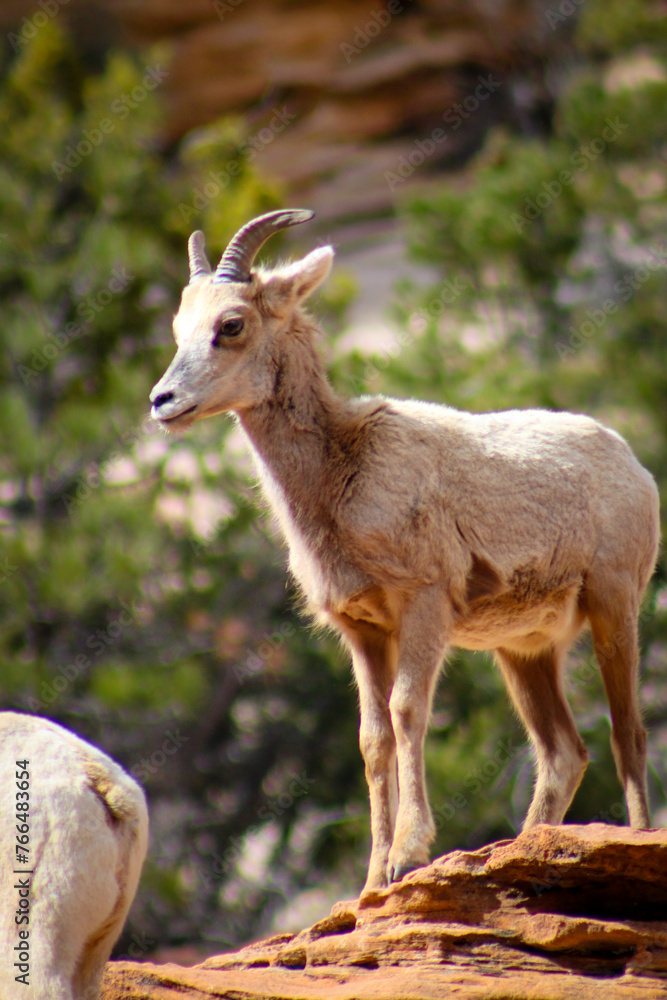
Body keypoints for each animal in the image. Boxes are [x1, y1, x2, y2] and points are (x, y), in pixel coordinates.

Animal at [150, 209, 664, 892]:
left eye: (231, 325)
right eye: (178, 327)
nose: (162, 403)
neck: (343, 475)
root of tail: (635, 466)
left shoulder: (424, 605)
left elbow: (407, 711)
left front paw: (408, 855)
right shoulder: (364, 630)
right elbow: (372, 739)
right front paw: (372, 879)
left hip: (613, 607)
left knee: (627, 734)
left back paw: (633, 836)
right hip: (524, 650)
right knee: (563, 753)